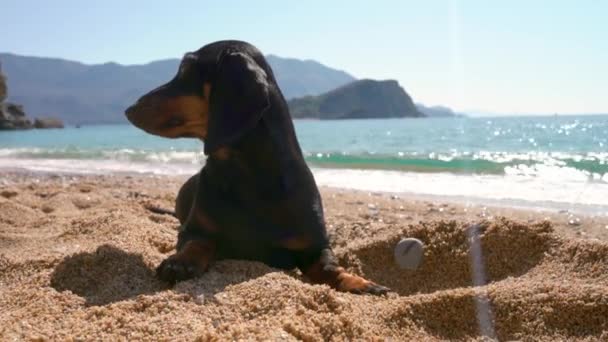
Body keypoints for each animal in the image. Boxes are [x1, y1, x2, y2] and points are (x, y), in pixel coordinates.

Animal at [125, 40, 390, 296]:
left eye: (185, 69)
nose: (128, 109)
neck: (247, 175)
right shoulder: (194, 230)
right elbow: (197, 242)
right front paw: (180, 262)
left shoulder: (316, 245)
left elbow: (329, 268)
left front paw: (361, 283)